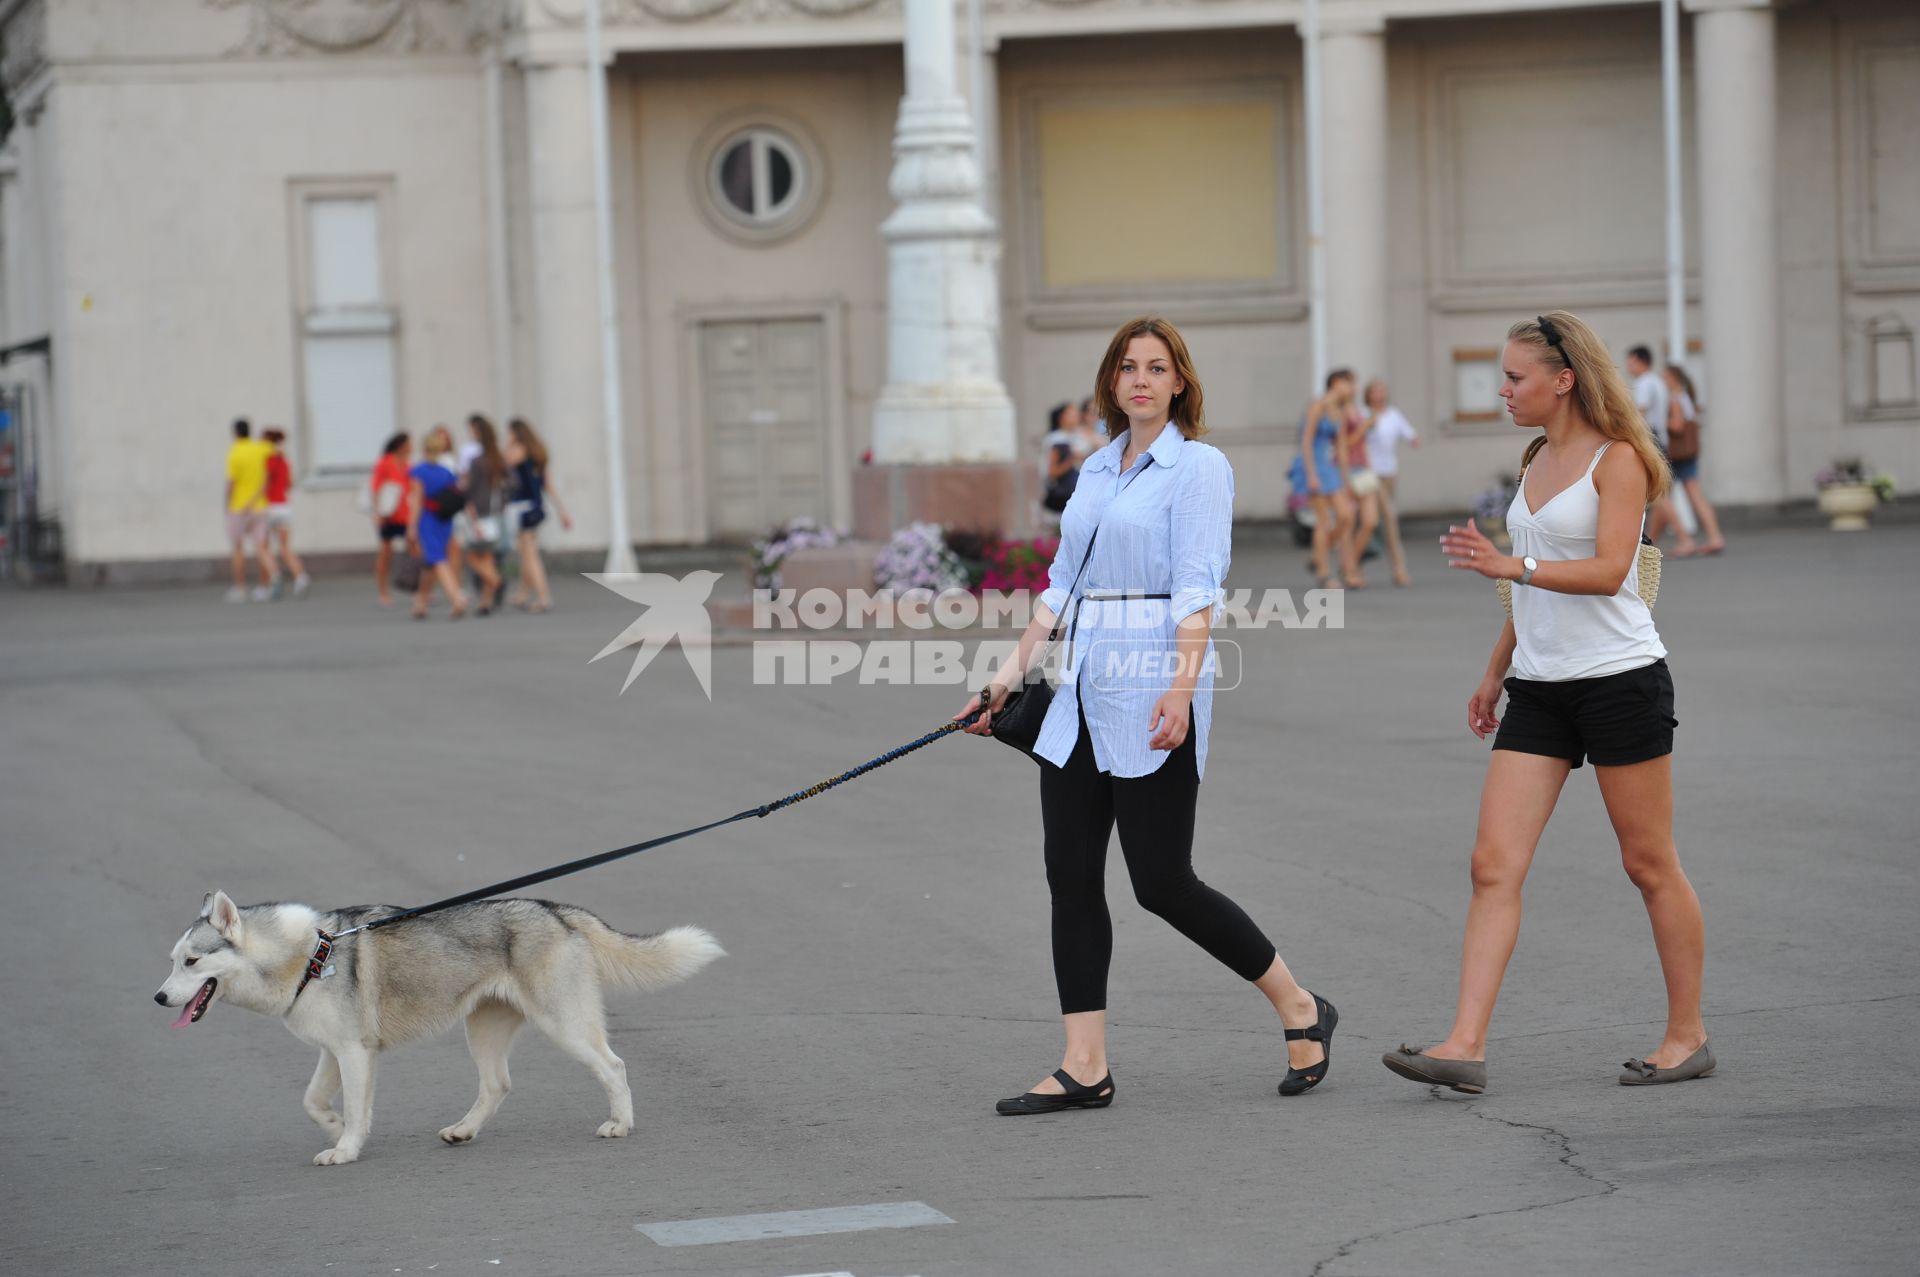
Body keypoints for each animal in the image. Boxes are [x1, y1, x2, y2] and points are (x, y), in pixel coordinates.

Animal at [155, 891, 721, 1159]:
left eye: (191, 962)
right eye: (173, 961)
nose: (159, 998)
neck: (311, 954)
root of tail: (554, 909)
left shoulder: (356, 1053)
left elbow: (356, 1110)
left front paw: (346, 1148)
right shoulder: (334, 1051)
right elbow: (313, 1101)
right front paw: (336, 1130)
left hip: (565, 1026)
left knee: (614, 1066)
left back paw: (621, 1123)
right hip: (483, 1032)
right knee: (497, 1085)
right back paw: (464, 1130)